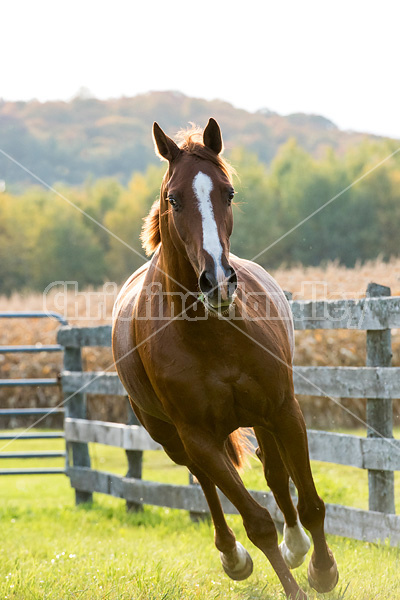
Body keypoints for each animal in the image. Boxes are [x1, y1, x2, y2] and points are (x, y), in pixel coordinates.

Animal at [111, 118, 338, 600]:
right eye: (173, 198)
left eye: (228, 192)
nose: (217, 280)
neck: (213, 336)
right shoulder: (196, 435)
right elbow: (256, 522)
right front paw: (288, 581)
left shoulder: (284, 410)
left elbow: (309, 502)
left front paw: (322, 570)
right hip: (173, 439)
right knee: (207, 483)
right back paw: (233, 557)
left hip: (261, 419)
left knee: (275, 474)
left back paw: (297, 546)